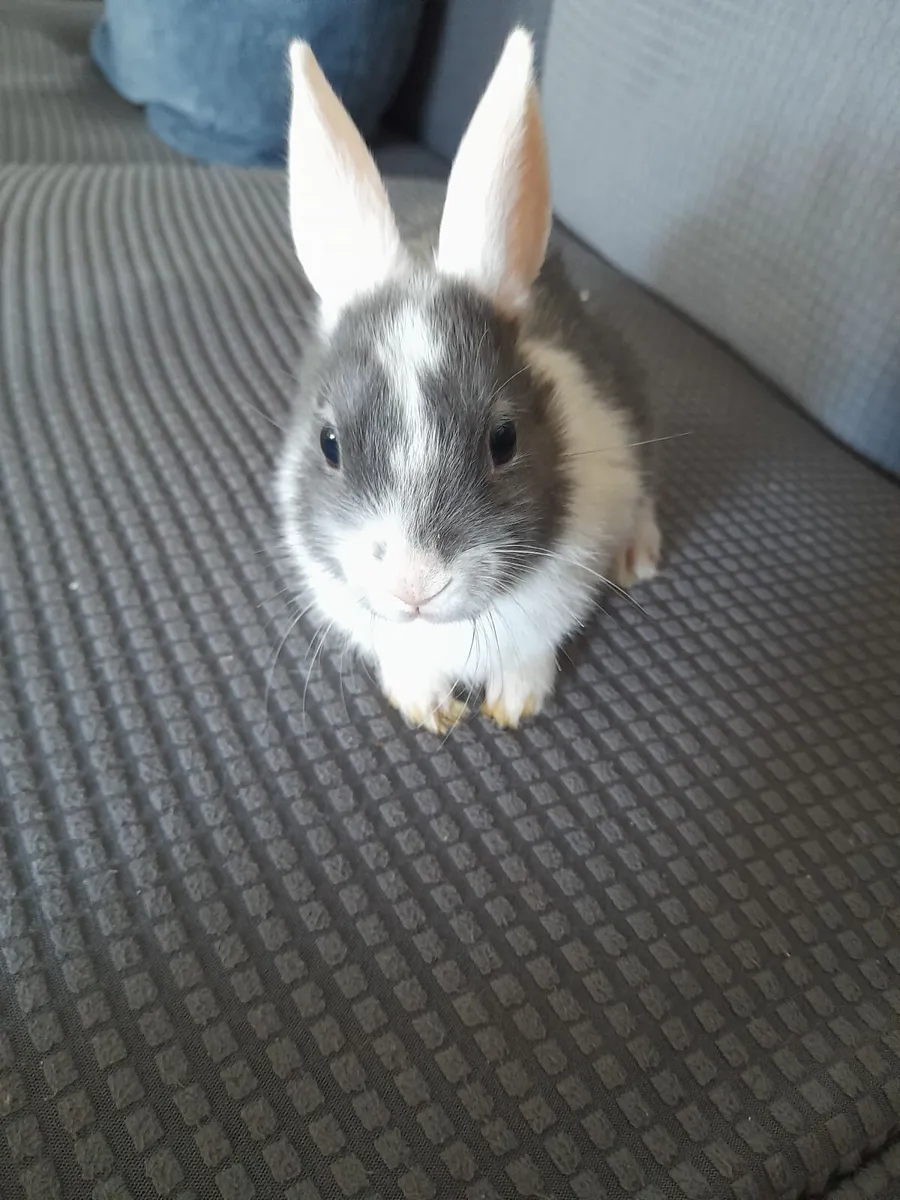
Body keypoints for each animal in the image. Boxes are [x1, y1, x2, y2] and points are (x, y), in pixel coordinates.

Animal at [276, 27, 661, 734]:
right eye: (329, 445)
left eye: (503, 439)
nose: (415, 586)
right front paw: (430, 711)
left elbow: (533, 654)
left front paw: (515, 704)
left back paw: (639, 556)